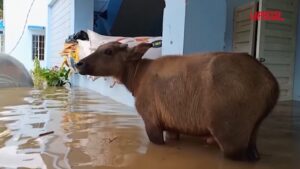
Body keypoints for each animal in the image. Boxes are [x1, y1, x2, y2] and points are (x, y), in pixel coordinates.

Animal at [75, 41, 278, 162]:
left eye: (108, 51)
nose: (79, 64)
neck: (136, 77)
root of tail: (270, 82)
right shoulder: (172, 127)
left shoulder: (151, 121)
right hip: (253, 135)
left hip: (230, 137)